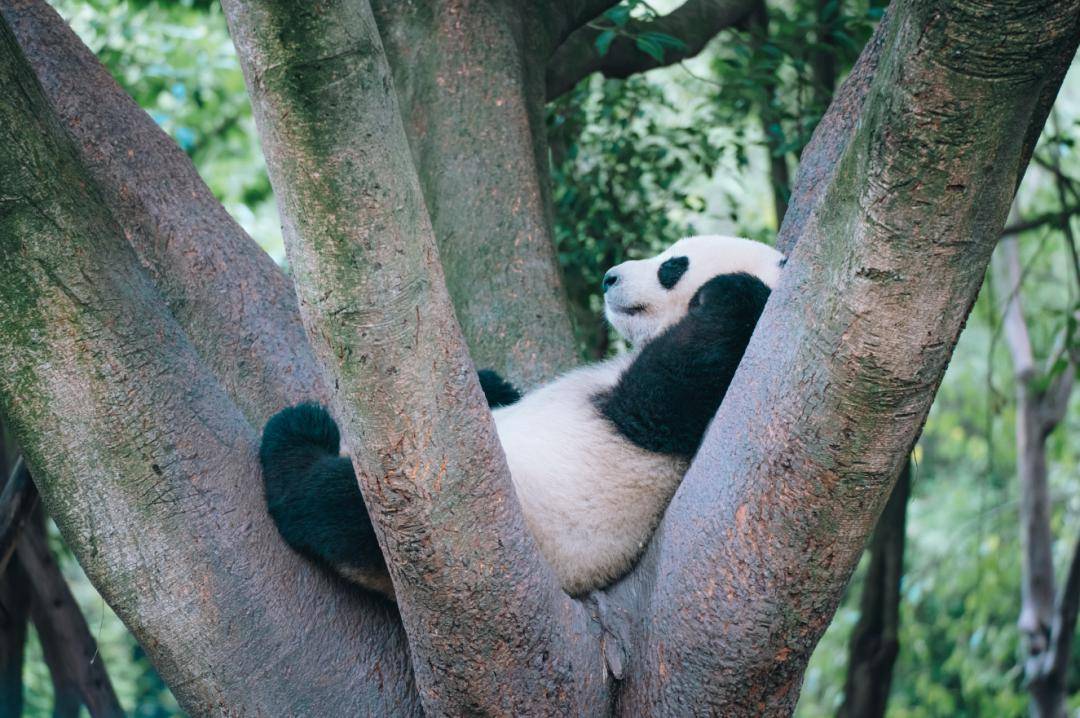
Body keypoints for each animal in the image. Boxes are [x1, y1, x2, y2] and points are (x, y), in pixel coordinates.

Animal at [261, 235, 786, 600]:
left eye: (672, 266)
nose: (609, 278)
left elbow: (663, 395)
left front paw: (731, 293)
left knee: (341, 506)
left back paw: (297, 438)